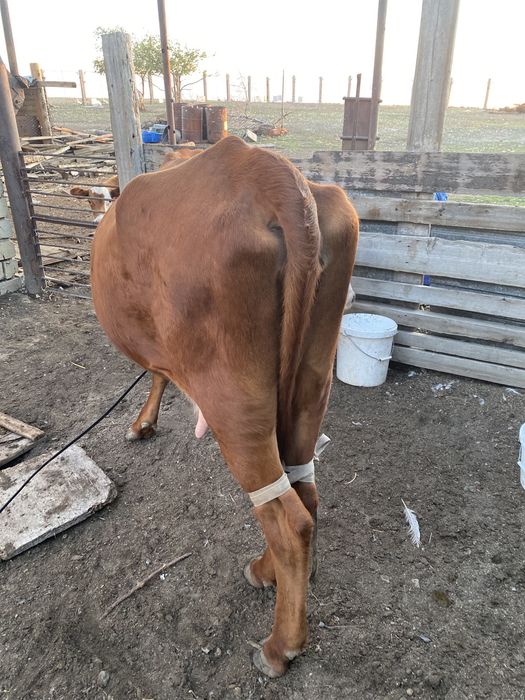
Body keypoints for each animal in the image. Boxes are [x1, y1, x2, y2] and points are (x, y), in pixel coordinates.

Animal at [91, 135, 358, 678]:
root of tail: (269, 173)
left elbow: (154, 372)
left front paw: (142, 422)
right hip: (310, 379)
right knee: (304, 490)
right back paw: (266, 571)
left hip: (233, 398)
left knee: (286, 516)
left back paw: (280, 646)